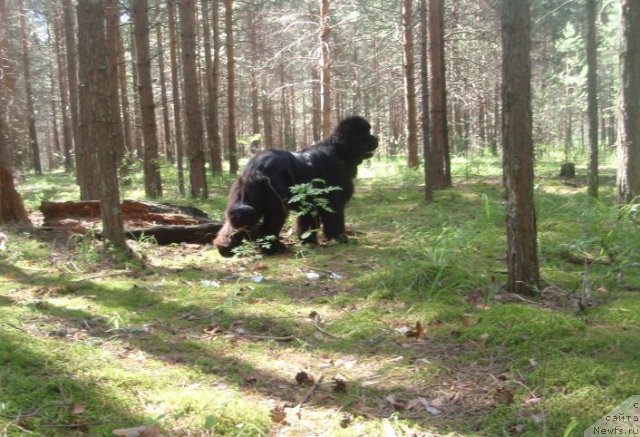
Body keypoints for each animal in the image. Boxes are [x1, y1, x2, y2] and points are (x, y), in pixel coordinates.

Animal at [215, 115, 378, 255]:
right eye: (364, 134)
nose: (377, 138)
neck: (339, 152)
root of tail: (255, 167)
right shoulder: (333, 200)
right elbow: (335, 222)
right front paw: (342, 239)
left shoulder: (309, 204)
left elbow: (306, 224)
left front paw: (309, 241)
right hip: (277, 203)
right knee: (267, 228)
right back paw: (275, 248)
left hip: (246, 197)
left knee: (234, 221)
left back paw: (225, 247)